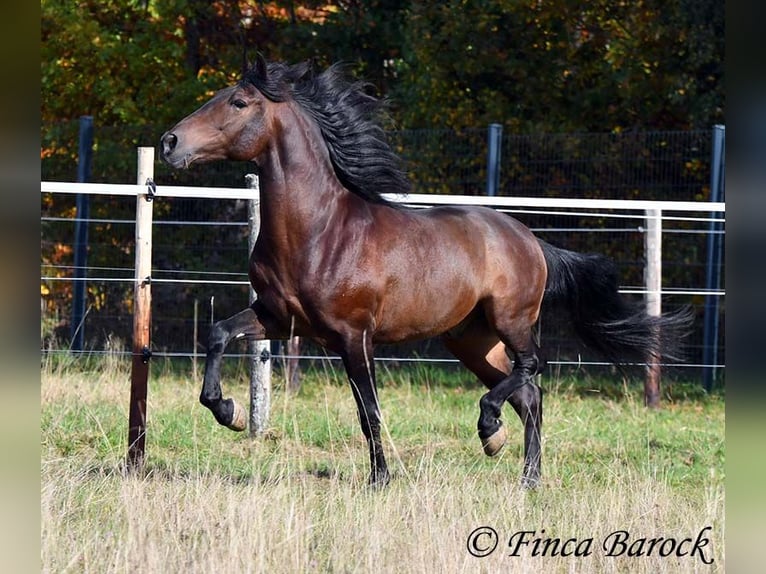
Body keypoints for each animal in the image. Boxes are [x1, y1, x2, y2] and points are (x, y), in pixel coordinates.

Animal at [160, 56, 691, 488]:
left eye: (238, 101)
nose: (169, 142)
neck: (319, 231)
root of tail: (528, 239)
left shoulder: (354, 337)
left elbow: (370, 412)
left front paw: (380, 480)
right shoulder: (278, 318)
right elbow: (217, 333)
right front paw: (227, 411)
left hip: (511, 321)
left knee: (531, 368)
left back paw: (490, 430)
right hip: (472, 339)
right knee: (530, 395)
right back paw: (525, 474)